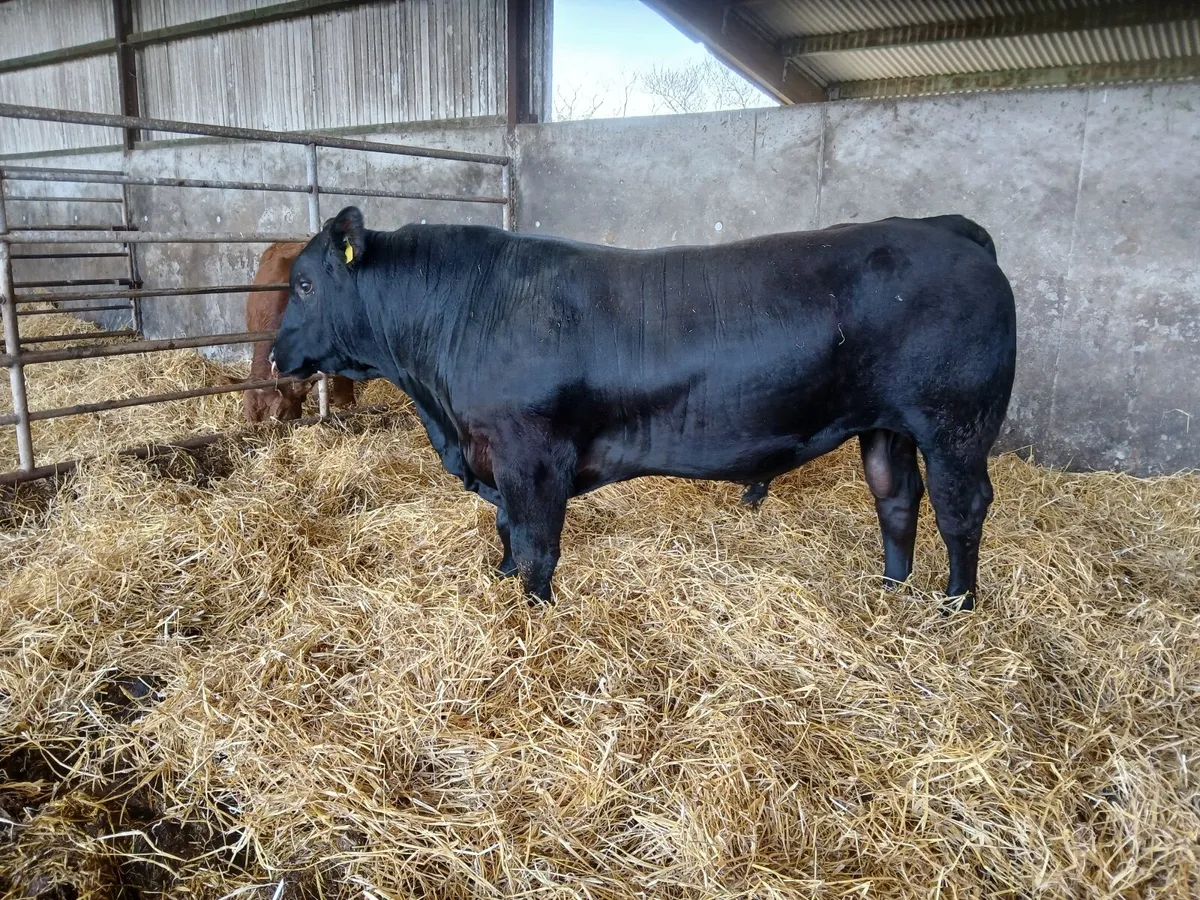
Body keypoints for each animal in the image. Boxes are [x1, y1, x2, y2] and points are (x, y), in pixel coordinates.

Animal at [270, 207, 1016, 612]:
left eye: (304, 283)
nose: (276, 355)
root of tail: (944, 228)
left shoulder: (531, 454)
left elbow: (536, 544)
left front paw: (532, 615)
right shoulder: (496, 456)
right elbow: (507, 532)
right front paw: (502, 583)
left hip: (955, 422)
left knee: (960, 509)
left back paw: (955, 607)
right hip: (886, 424)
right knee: (897, 498)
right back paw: (890, 589)